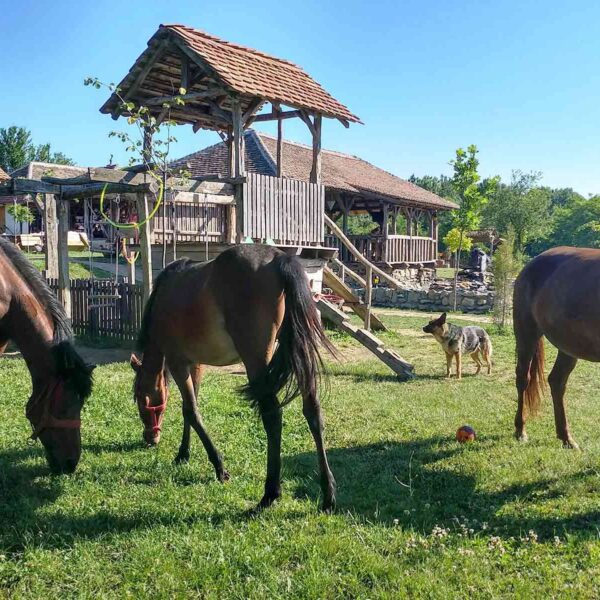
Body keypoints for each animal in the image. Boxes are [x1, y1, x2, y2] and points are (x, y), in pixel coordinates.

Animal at [129, 244, 338, 510]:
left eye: (139, 398)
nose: (150, 437)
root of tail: (280, 258)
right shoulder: (195, 364)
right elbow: (190, 408)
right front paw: (183, 454)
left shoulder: (178, 363)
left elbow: (191, 411)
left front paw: (219, 467)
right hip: (300, 355)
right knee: (312, 410)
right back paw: (328, 495)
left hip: (256, 360)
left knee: (272, 416)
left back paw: (270, 494)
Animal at [512, 246, 600, 448]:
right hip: (526, 335)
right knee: (523, 378)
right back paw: (521, 430)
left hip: (568, 347)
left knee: (557, 382)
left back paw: (566, 437)